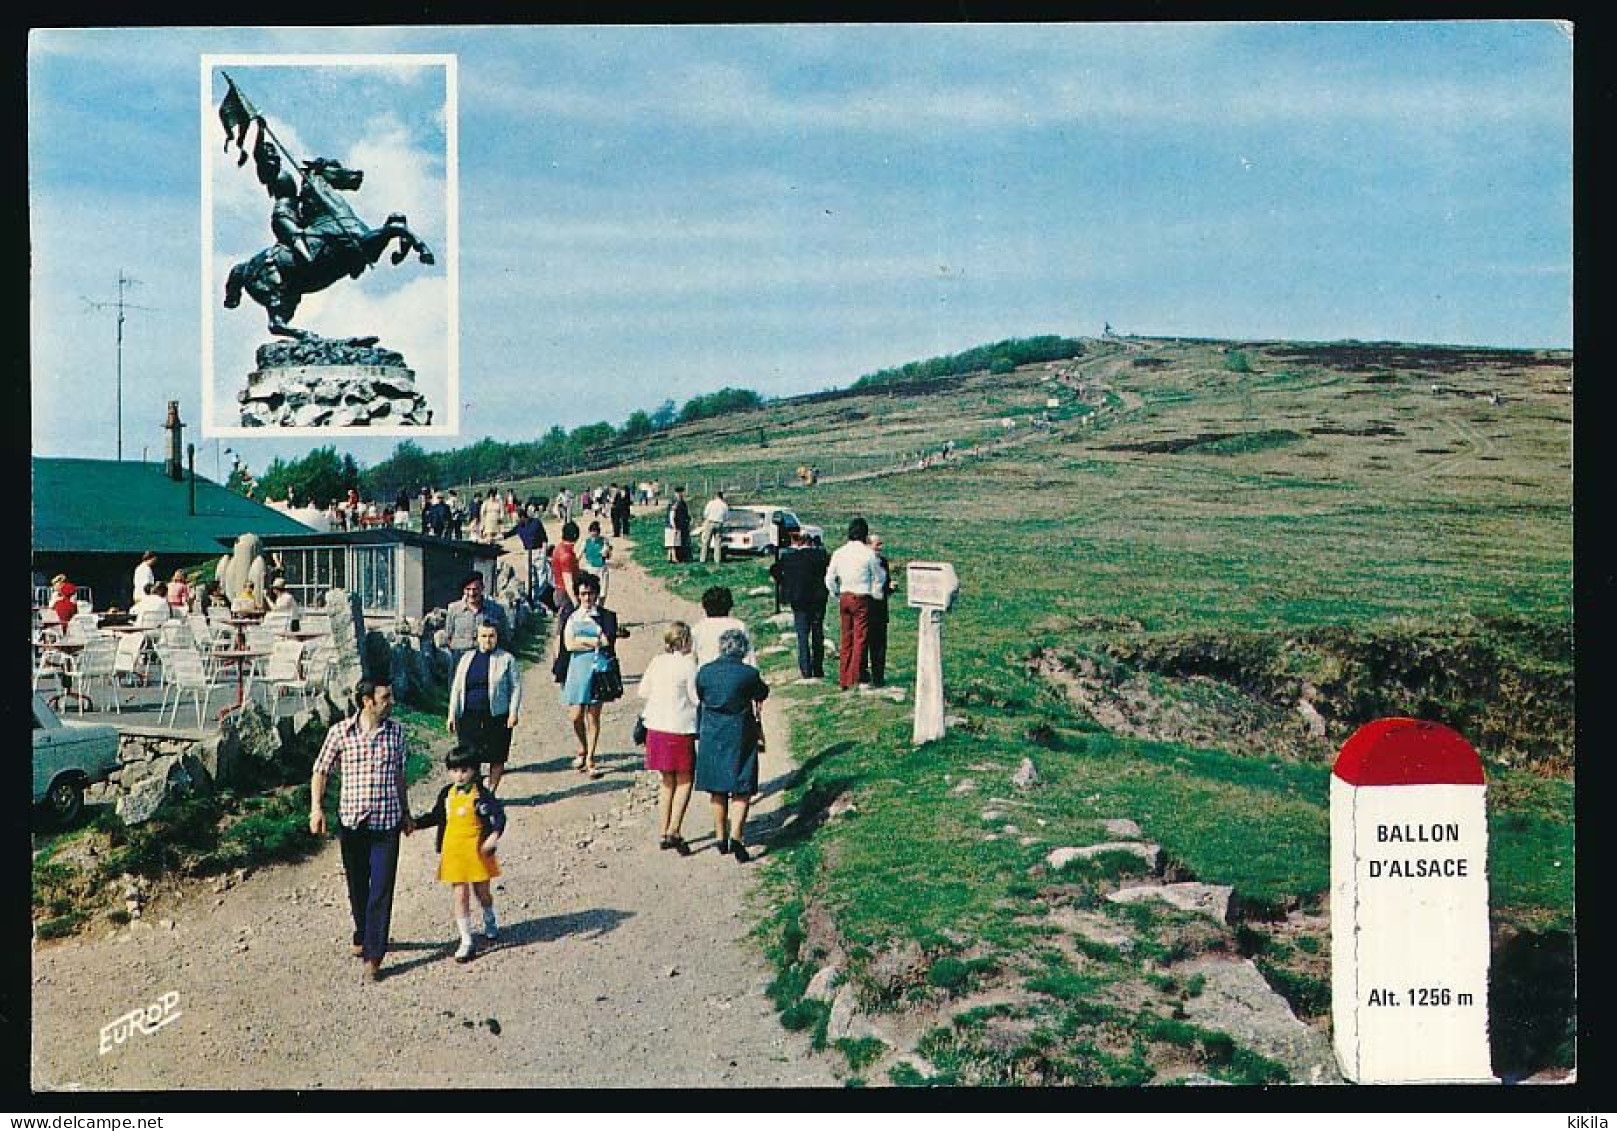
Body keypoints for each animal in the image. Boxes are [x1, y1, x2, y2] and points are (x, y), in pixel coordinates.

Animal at [224, 156, 436, 338]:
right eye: (334, 165)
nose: (359, 174)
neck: (331, 215)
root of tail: (245, 266)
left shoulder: (370, 247)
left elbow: (397, 219)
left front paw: (400, 253)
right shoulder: (361, 244)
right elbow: (395, 228)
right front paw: (424, 253)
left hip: (292, 294)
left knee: (277, 323)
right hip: (277, 292)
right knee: (275, 324)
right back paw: (307, 335)